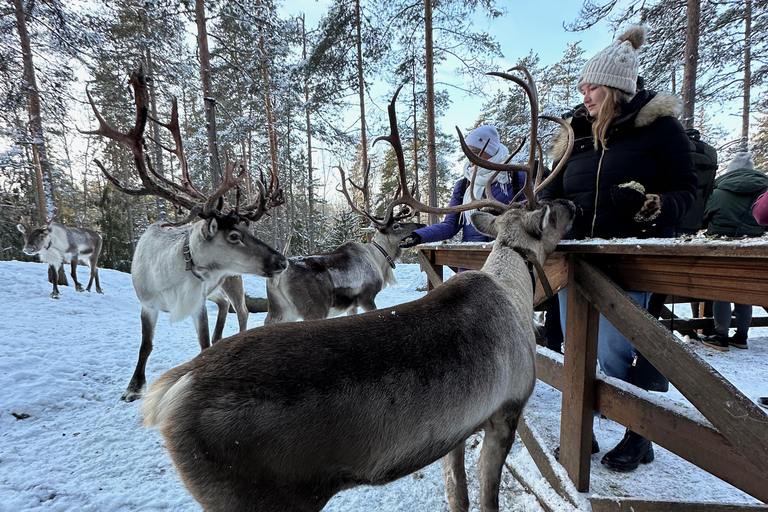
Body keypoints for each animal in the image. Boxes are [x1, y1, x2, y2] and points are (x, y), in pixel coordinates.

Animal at [82, 65, 287, 402]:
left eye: (245, 228)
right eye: (233, 236)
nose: (282, 261)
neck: (174, 279)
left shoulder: (197, 302)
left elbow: (202, 344)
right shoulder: (148, 303)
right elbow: (146, 345)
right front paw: (133, 387)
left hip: (232, 280)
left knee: (241, 310)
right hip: (217, 288)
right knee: (226, 306)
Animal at [264, 164, 425, 323]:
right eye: (396, 226)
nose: (421, 225)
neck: (379, 260)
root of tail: (277, 278)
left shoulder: (352, 306)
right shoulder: (367, 297)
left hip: (279, 311)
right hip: (314, 309)